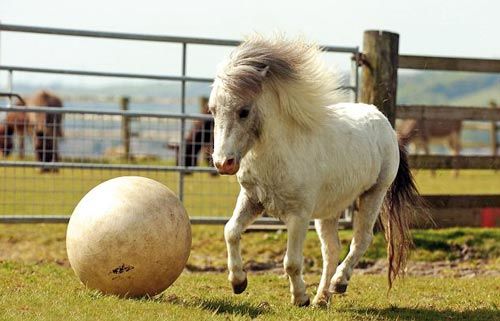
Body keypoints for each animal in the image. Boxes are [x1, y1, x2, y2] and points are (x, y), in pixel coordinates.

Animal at [208, 34, 422, 304]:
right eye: (213, 110)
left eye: (244, 111)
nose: (222, 163)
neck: (280, 154)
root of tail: (384, 121)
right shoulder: (252, 200)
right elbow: (231, 231)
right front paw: (238, 282)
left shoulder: (298, 215)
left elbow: (291, 262)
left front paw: (300, 298)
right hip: (329, 208)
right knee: (332, 249)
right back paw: (322, 297)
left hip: (374, 194)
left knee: (361, 240)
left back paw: (339, 283)